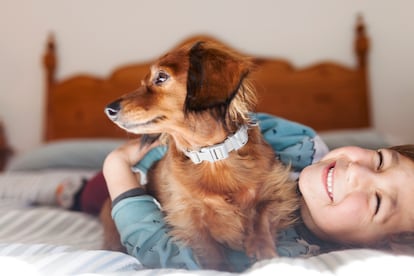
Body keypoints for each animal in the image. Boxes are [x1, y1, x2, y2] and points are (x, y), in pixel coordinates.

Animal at [102, 38, 298, 270]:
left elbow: (263, 212)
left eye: (161, 77)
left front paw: (263, 249)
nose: (109, 109)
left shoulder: (279, 188)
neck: (213, 157)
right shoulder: (188, 218)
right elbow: (210, 251)